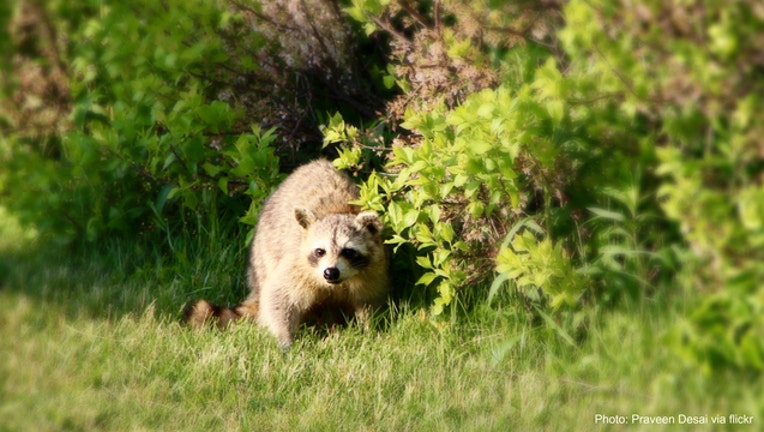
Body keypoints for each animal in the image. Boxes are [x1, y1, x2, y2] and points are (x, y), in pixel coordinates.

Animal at [185, 159, 389, 348]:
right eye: (320, 251)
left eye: (348, 251)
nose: (330, 272)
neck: (338, 211)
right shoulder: (298, 263)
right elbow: (280, 295)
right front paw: (285, 339)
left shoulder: (374, 270)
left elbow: (369, 301)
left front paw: (371, 329)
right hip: (263, 253)